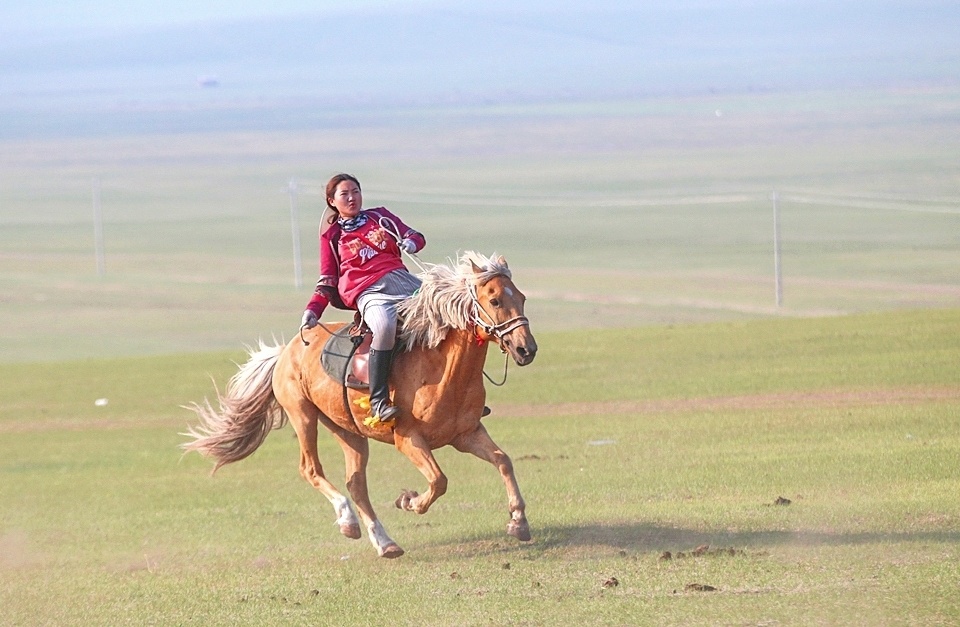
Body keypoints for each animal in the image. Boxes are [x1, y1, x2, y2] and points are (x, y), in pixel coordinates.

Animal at [183, 250, 536, 560]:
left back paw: (385, 543)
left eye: (521, 297)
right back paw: (348, 521)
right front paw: (409, 501)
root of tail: (286, 350)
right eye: (494, 300)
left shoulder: (466, 434)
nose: (526, 350)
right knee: (311, 469)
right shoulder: (408, 439)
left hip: (346, 430)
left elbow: (503, 461)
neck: (441, 367)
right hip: (303, 416)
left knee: (356, 484)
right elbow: (439, 480)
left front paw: (518, 521)